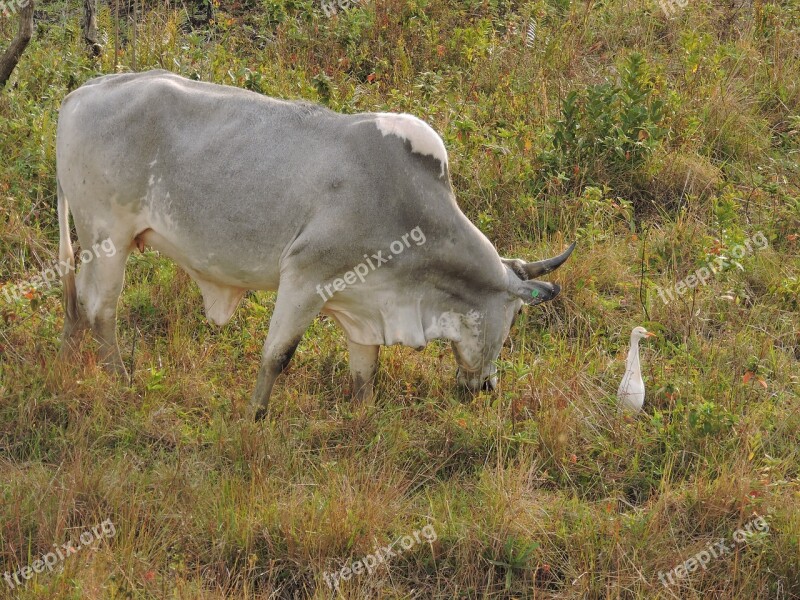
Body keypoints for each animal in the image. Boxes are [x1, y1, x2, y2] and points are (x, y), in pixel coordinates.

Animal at [54, 69, 576, 418]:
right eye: (515, 318)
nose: (487, 388)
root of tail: (82, 92)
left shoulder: (365, 304)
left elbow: (365, 370)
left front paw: (363, 420)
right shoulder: (305, 277)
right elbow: (277, 356)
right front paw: (254, 418)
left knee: (79, 303)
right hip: (109, 237)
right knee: (101, 308)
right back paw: (121, 382)